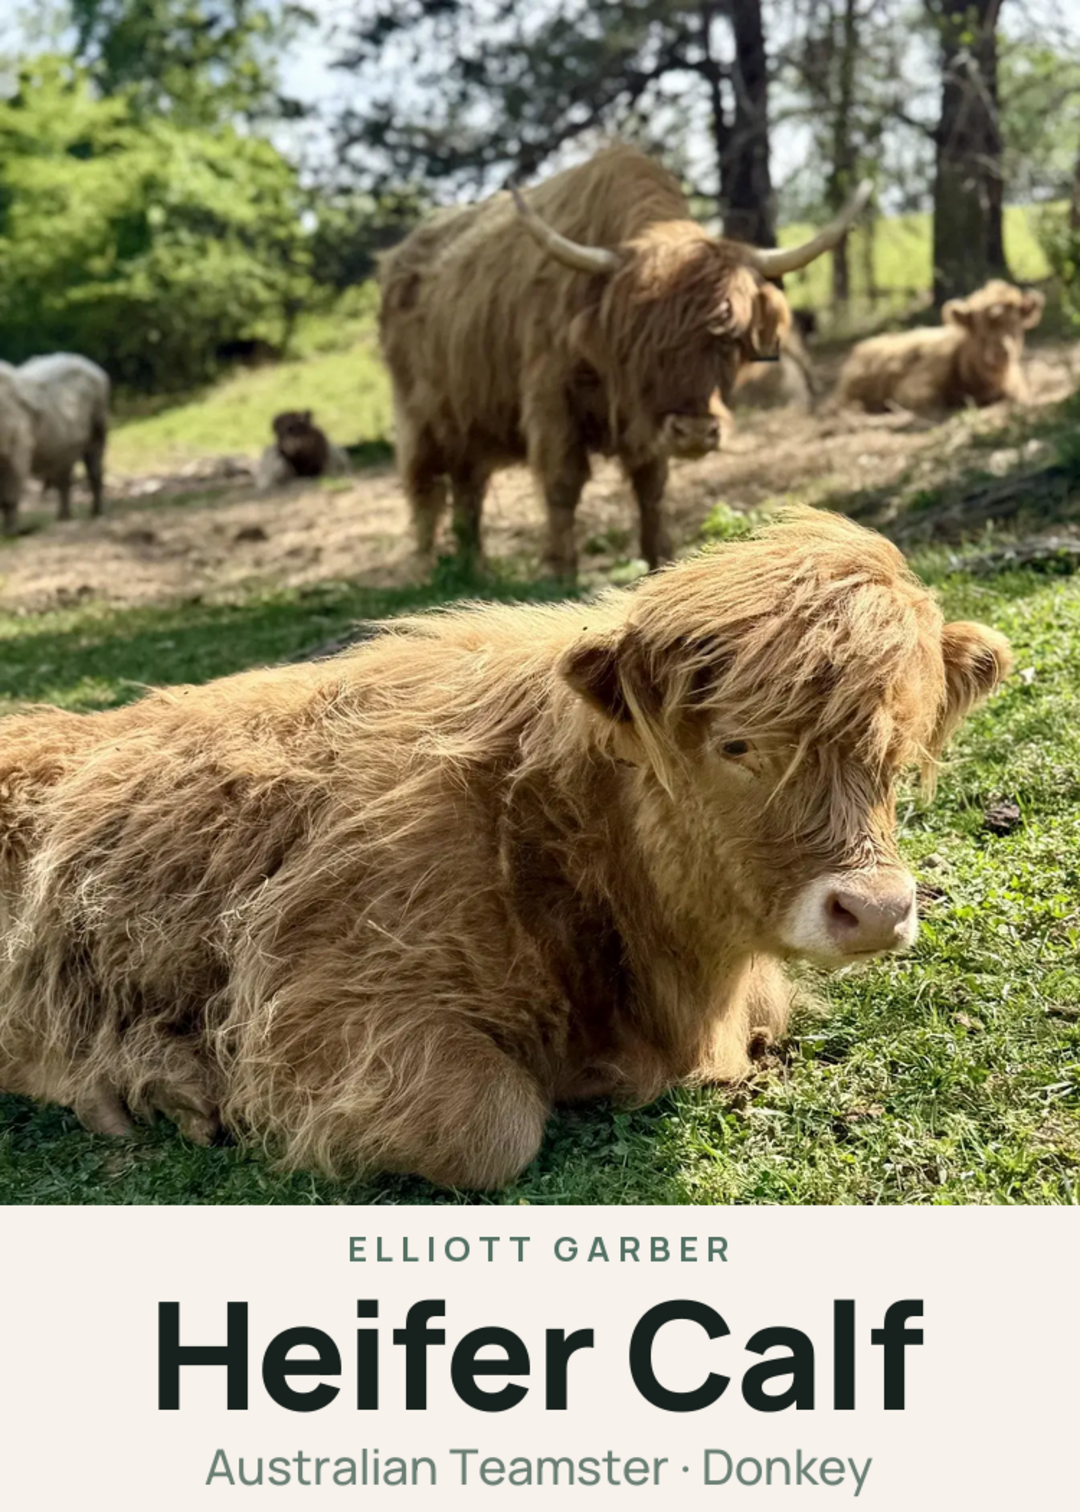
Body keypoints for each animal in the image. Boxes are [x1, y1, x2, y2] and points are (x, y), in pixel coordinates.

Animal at [0, 354, 110, 533]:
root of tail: (96, 370)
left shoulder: (16, 453)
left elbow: (9, 498)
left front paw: (12, 531)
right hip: (64, 451)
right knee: (64, 481)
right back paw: (63, 516)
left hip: (98, 433)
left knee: (95, 472)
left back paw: (97, 511)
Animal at [378, 143, 870, 577]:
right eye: (641, 341)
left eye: (729, 338)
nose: (695, 432)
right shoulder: (551, 401)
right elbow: (562, 485)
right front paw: (560, 573)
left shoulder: (646, 421)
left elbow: (651, 487)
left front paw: (660, 563)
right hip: (418, 416)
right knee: (425, 490)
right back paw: (427, 571)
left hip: (469, 421)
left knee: (469, 491)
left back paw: (472, 566)